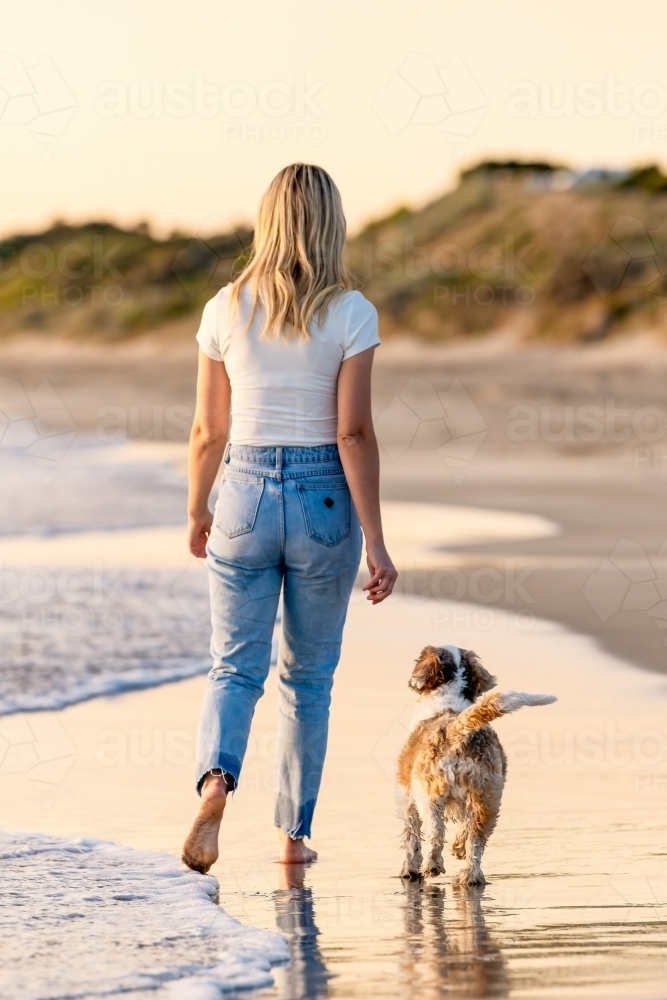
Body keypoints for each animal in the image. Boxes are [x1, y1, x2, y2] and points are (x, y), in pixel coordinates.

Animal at [396, 648, 560, 884]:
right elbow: (464, 831)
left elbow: (412, 838)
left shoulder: (407, 797)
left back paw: (433, 865)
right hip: (487, 799)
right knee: (476, 840)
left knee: (436, 833)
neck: (449, 698)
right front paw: (458, 848)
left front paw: (409, 870)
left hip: (428, 797)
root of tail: (458, 728)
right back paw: (471, 875)